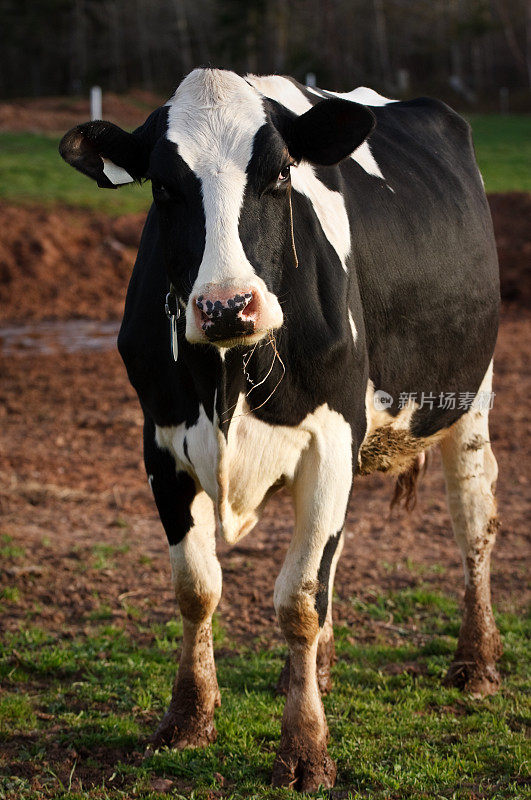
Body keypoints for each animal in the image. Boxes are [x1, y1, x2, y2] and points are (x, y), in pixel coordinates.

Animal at [61, 70, 502, 792]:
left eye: (278, 175)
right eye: (164, 187)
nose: (225, 306)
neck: (228, 373)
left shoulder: (329, 440)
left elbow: (297, 599)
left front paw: (304, 750)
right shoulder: (160, 444)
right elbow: (197, 587)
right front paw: (188, 718)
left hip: (469, 396)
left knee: (473, 519)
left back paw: (476, 662)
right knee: (335, 553)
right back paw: (320, 667)